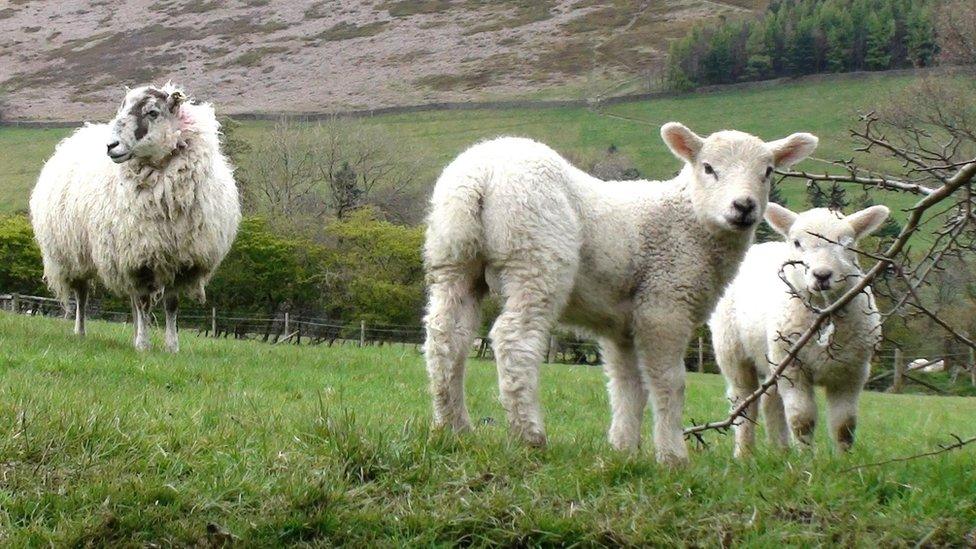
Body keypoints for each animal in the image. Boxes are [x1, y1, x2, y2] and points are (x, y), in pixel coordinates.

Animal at [28, 85, 242, 352]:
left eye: (152, 112)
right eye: (121, 109)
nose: (111, 146)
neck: (166, 203)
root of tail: (78, 134)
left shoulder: (181, 260)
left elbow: (171, 304)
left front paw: (172, 346)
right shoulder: (137, 258)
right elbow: (143, 302)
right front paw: (143, 345)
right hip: (72, 253)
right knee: (82, 295)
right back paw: (80, 331)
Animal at [424, 124, 820, 462]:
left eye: (767, 171)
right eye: (708, 168)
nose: (744, 207)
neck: (689, 221)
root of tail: (480, 174)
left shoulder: (622, 326)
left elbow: (628, 386)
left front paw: (623, 449)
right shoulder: (664, 304)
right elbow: (669, 382)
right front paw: (672, 456)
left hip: (454, 256)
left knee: (447, 336)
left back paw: (453, 426)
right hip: (536, 252)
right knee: (514, 340)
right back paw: (529, 435)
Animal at [708, 203, 892, 456]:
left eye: (847, 243)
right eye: (797, 243)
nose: (822, 275)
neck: (823, 310)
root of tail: (759, 247)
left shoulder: (851, 373)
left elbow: (845, 425)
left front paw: (844, 460)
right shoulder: (794, 368)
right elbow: (802, 419)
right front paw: (806, 458)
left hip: (774, 357)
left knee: (771, 401)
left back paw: (780, 451)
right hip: (733, 350)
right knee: (744, 402)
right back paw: (744, 453)